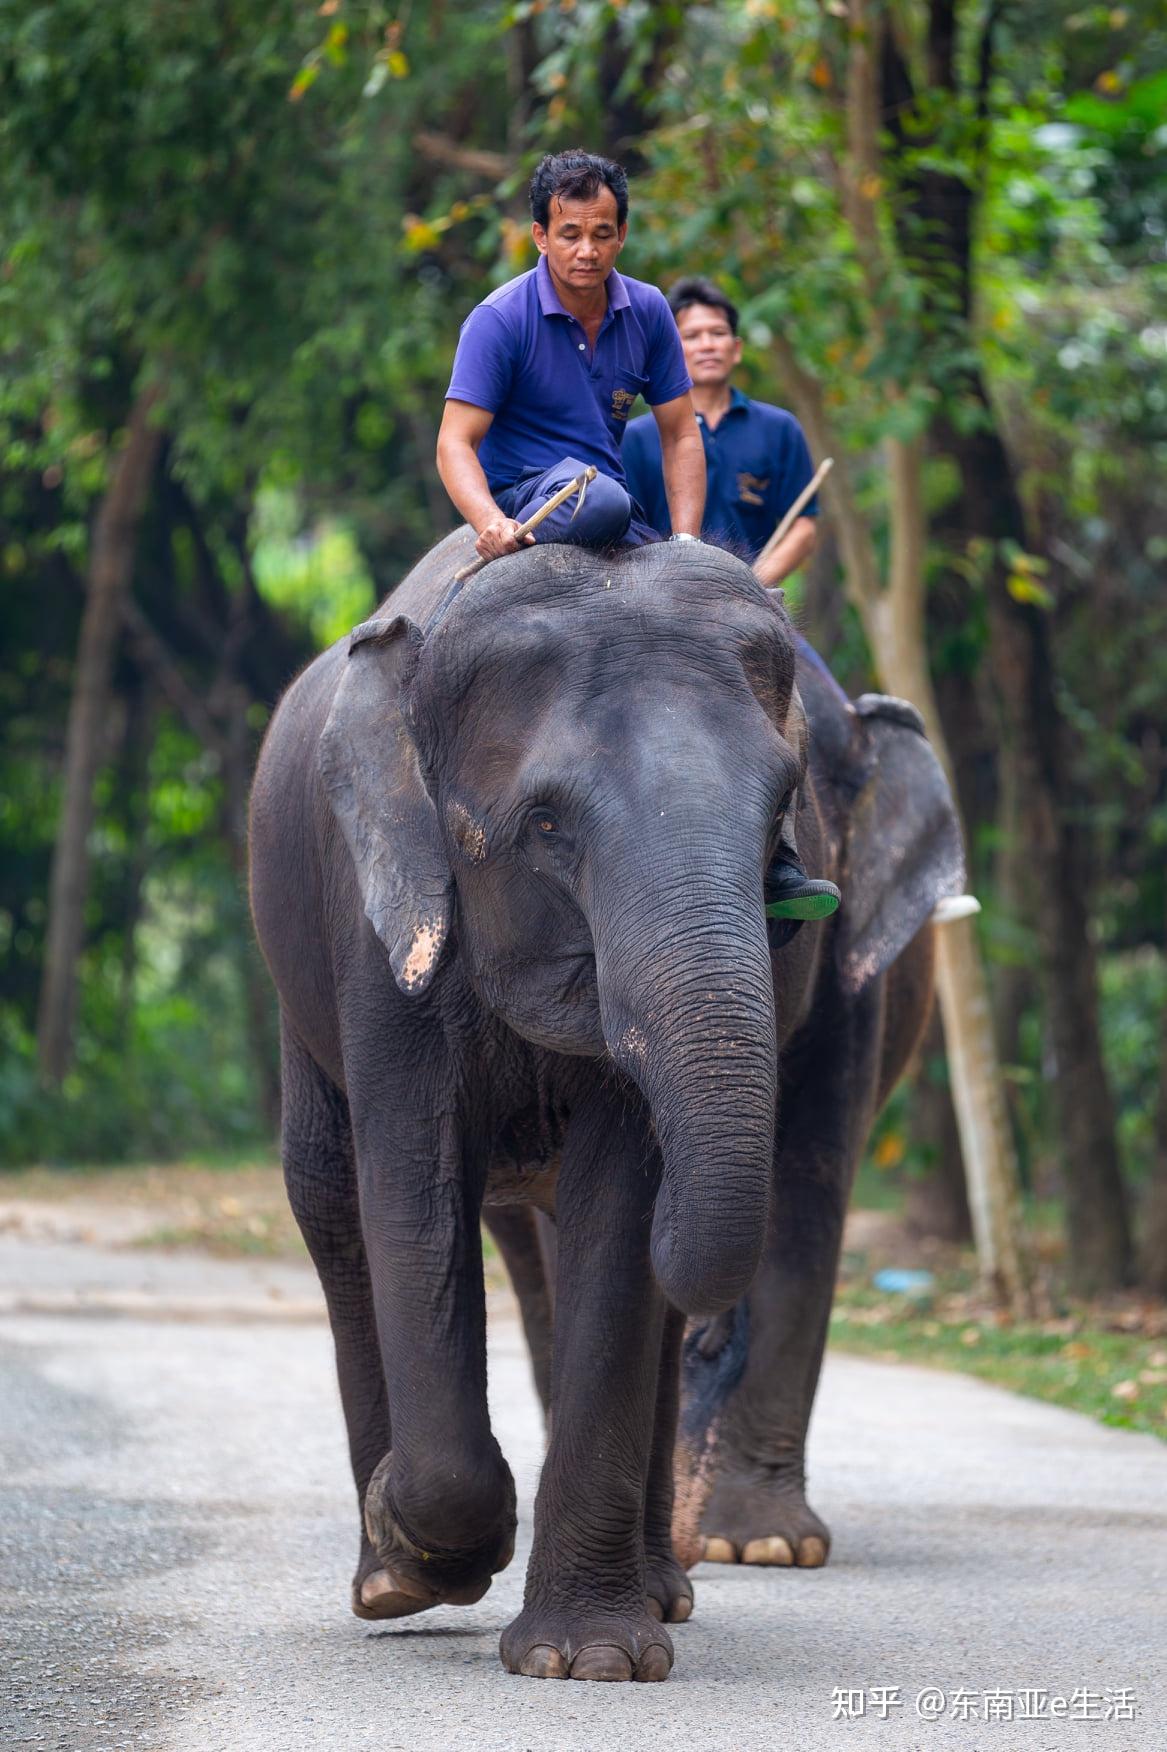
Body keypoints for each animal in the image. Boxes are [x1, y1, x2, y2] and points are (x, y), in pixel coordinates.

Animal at [247, 529, 960, 1681]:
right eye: (544, 821)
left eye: (784, 817)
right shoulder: (384, 942)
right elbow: (411, 1194)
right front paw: (439, 1542)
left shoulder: (847, 975)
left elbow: (640, 1215)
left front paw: (590, 1658)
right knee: (331, 1202)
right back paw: (389, 1580)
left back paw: (670, 1585)